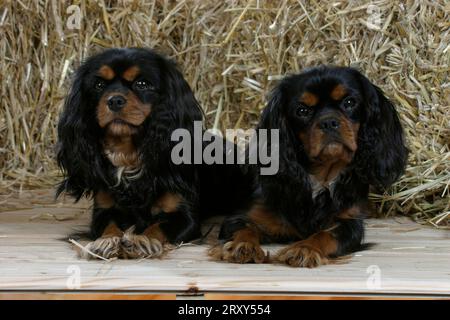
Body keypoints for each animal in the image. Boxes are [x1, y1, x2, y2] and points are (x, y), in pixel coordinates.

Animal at [56, 48, 251, 260]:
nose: (114, 100)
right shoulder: (104, 210)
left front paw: (142, 241)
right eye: (99, 85)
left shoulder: (184, 216)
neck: (129, 155)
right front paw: (106, 242)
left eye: (142, 84)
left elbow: (158, 227)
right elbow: (109, 226)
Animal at [211, 65, 408, 268]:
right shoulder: (244, 216)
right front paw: (241, 246)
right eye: (302, 110)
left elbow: (326, 235)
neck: (320, 177)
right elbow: (244, 228)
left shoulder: (348, 222)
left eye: (350, 102)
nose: (328, 122)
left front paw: (305, 249)